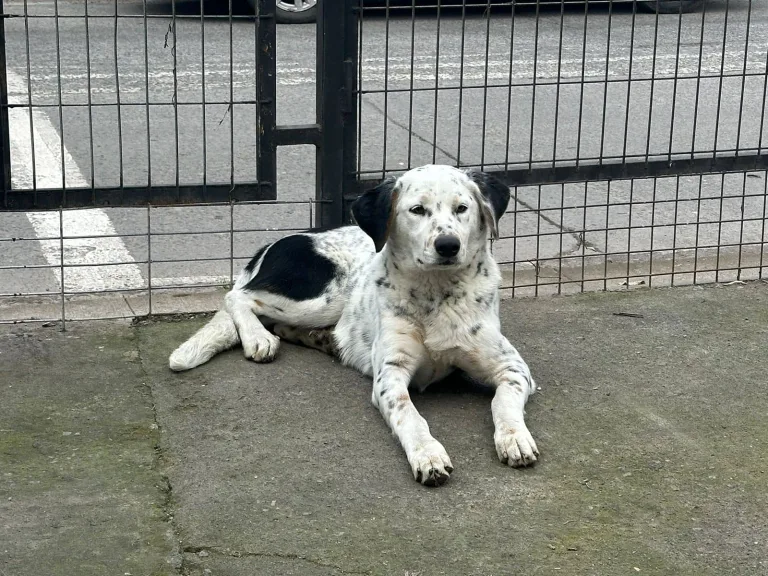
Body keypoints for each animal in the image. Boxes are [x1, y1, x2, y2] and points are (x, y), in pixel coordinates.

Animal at [169, 164, 540, 488]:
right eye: (417, 210)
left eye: (462, 208)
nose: (448, 245)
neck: (436, 293)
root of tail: (274, 244)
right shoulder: (390, 377)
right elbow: (411, 417)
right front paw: (427, 455)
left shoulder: (513, 368)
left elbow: (503, 403)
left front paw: (515, 438)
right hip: (323, 296)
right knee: (239, 296)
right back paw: (258, 339)